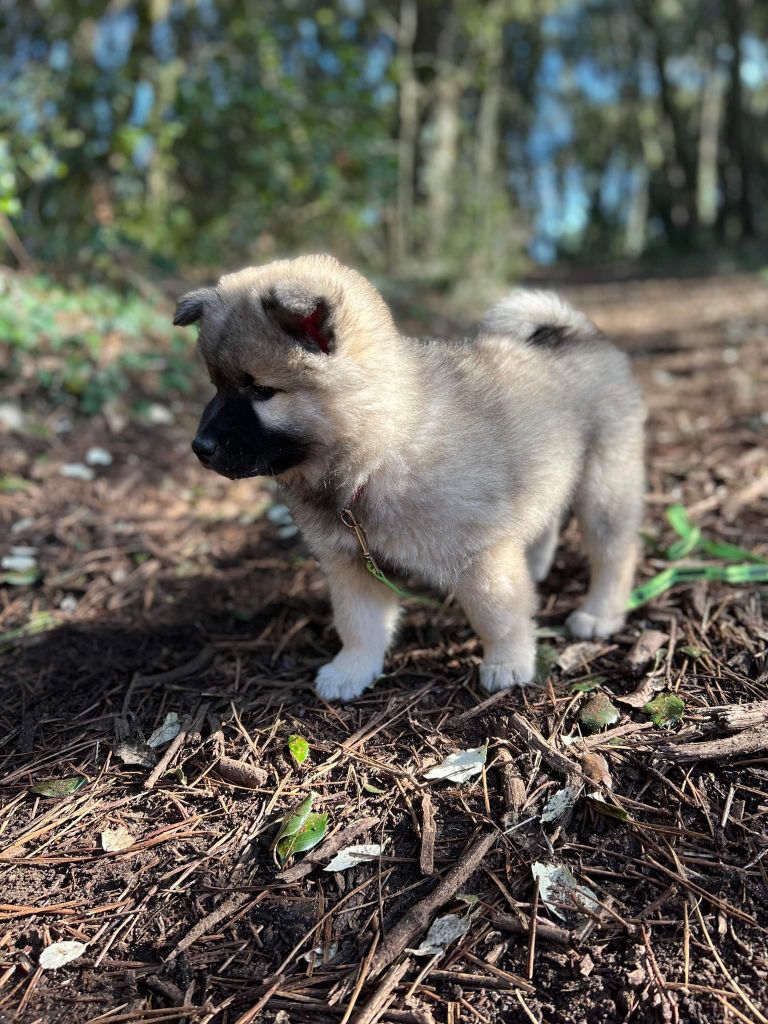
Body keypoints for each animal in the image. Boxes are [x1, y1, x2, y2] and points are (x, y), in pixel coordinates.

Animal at [177, 258, 647, 704]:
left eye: (261, 390)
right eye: (216, 385)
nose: (200, 447)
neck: (380, 449)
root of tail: (578, 333)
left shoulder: (481, 557)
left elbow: (498, 616)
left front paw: (508, 661)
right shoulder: (349, 562)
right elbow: (359, 624)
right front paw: (353, 670)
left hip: (604, 487)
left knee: (615, 553)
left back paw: (600, 613)